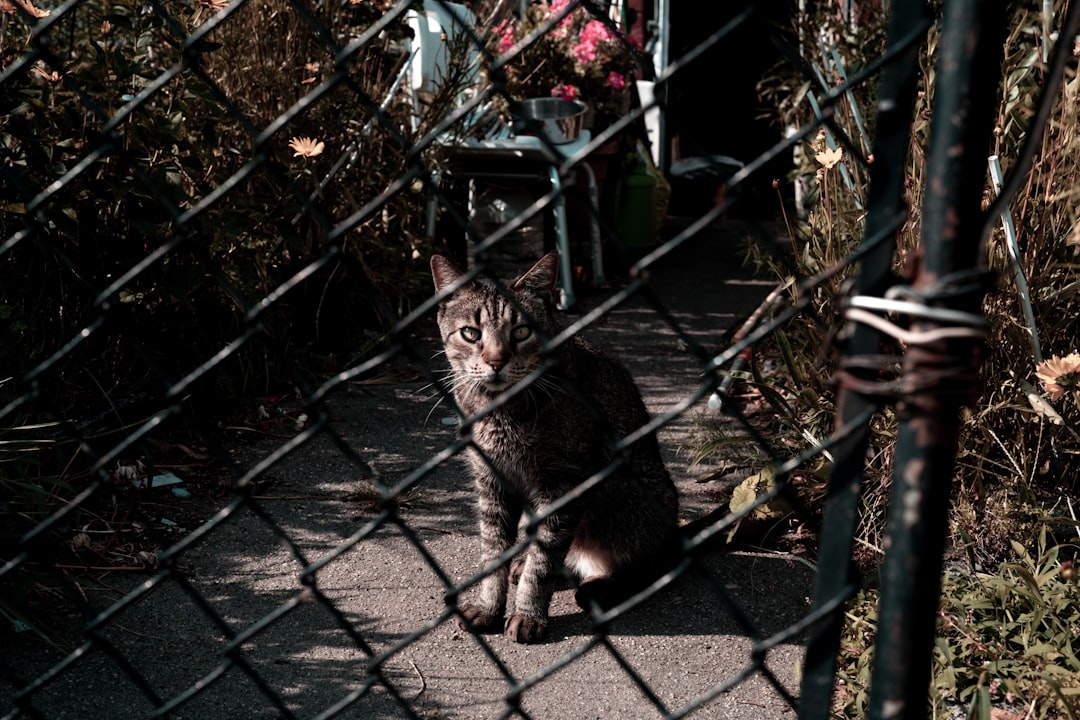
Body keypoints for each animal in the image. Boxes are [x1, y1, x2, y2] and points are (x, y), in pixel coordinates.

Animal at [427, 252, 673, 643]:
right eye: (471, 333)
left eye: (521, 332)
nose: (496, 362)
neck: (501, 411)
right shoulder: (491, 482)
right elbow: (493, 553)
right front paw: (488, 607)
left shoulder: (562, 484)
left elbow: (543, 562)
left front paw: (528, 614)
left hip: (631, 504)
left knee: (653, 563)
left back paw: (600, 587)